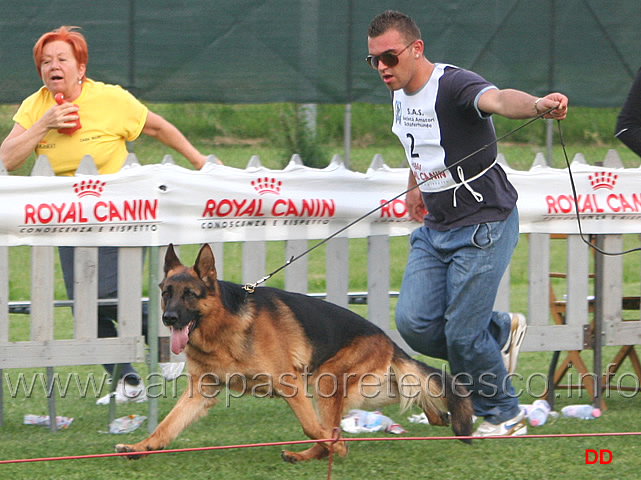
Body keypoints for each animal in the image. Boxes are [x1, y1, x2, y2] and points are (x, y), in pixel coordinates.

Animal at [115, 246, 472, 464]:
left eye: (190, 294)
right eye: (166, 293)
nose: (169, 318)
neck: (225, 326)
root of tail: (386, 338)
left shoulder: (291, 385)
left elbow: (314, 428)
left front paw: (339, 447)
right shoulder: (199, 393)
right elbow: (166, 426)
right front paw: (141, 447)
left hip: (327, 383)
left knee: (333, 424)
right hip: (368, 389)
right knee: (413, 392)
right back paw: (438, 416)